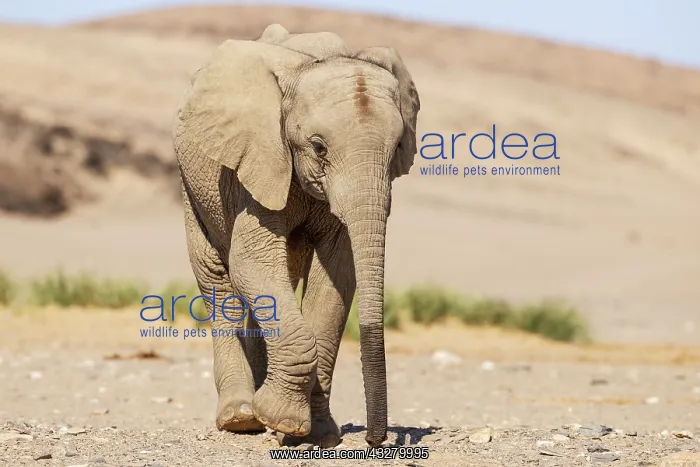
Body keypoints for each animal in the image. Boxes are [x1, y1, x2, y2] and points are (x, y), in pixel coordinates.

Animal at [172, 23, 420, 448]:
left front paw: (316, 434)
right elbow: (249, 262)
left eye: (398, 149)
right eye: (318, 148)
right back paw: (240, 417)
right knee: (218, 278)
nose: (376, 440)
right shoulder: (258, 161)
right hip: (193, 182)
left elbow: (337, 277)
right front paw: (282, 420)